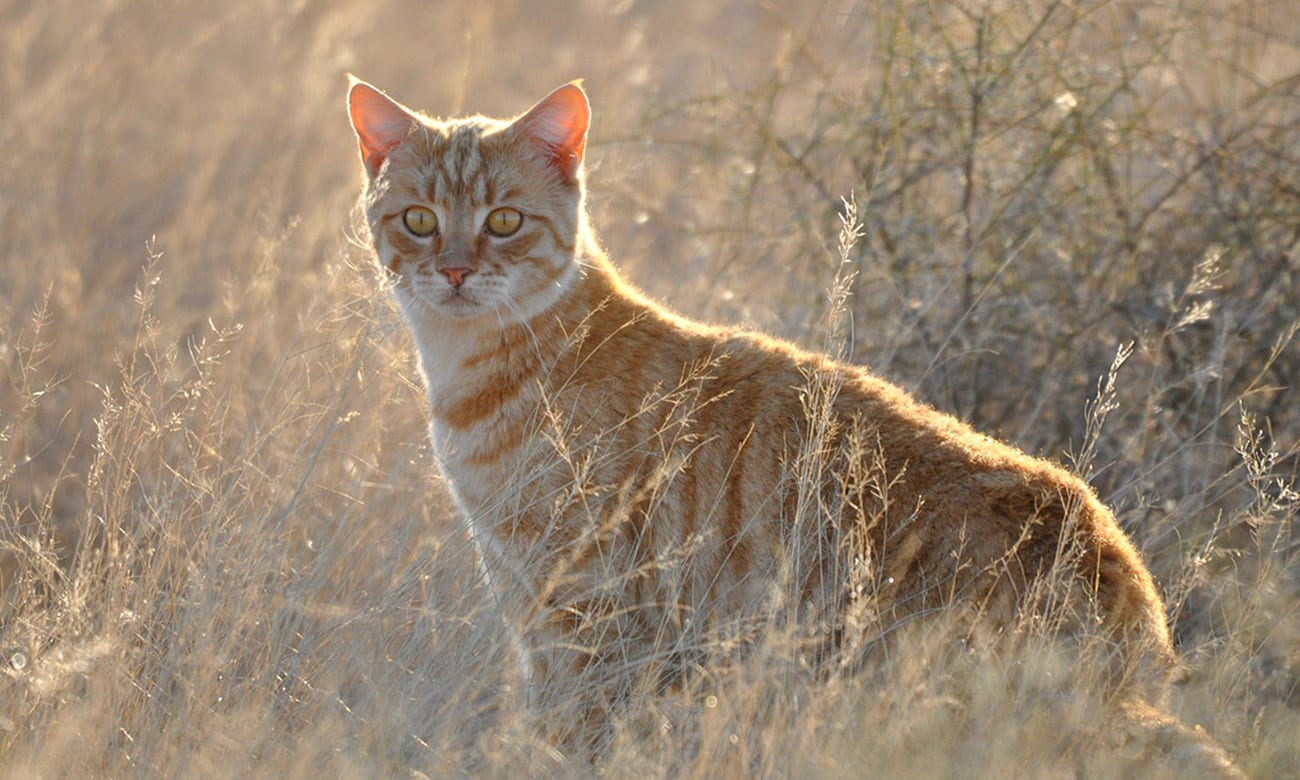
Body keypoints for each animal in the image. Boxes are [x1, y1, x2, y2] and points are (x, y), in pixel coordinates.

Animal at [345, 76, 1237, 769]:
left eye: (505, 221)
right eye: (419, 220)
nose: (454, 271)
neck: (481, 368)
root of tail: (1114, 557)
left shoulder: (586, 619)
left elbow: (568, 737)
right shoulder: (552, 609)